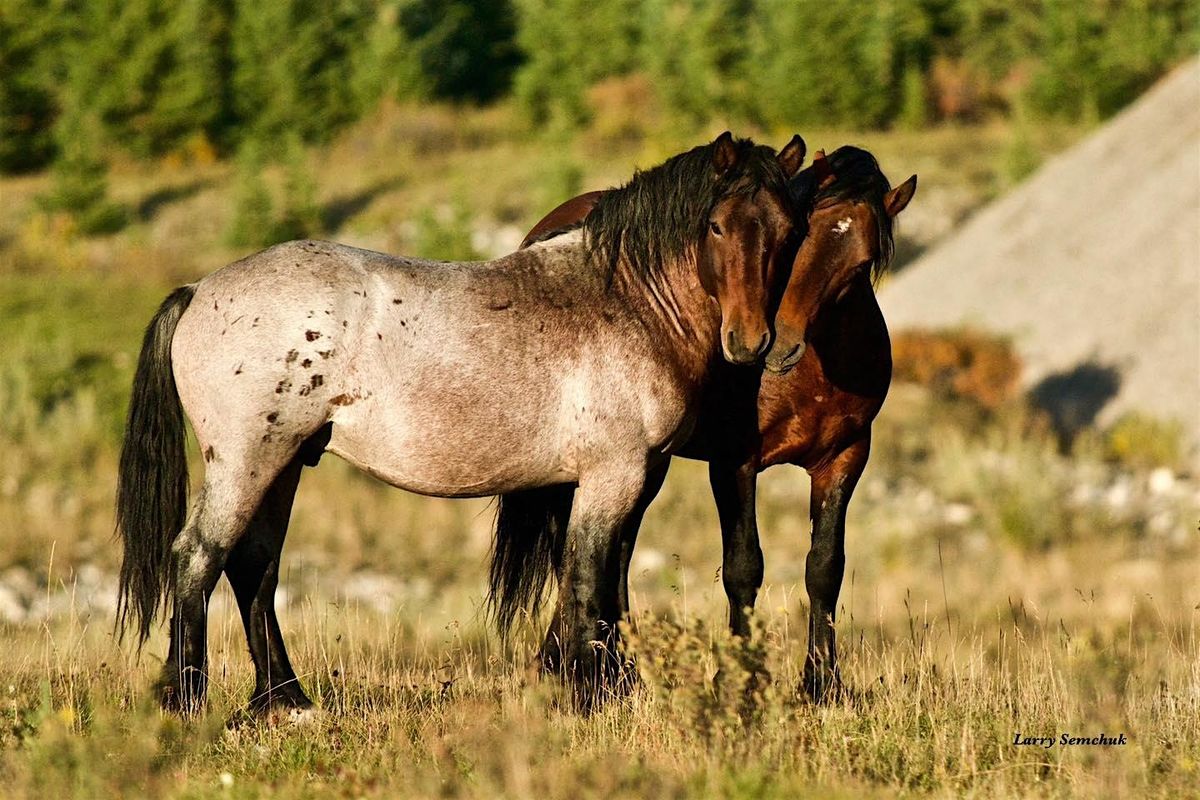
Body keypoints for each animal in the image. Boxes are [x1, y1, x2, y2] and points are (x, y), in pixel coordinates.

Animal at [115, 132, 808, 716]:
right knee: (197, 559)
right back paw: (184, 700)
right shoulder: (613, 476)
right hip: (247, 460)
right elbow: (588, 582)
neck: (627, 302)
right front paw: (587, 698)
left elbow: (604, 583)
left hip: (284, 463)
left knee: (253, 567)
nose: (751, 343)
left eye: (790, 230)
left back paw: (285, 700)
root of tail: (199, 291)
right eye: (716, 226)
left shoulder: (640, 475)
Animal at [490, 146, 917, 701]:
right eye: (800, 237)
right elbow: (743, 567)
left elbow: (825, 567)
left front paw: (822, 683)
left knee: (616, 550)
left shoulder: (845, 459)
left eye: (861, 263)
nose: (776, 345)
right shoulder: (734, 462)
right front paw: (738, 680)